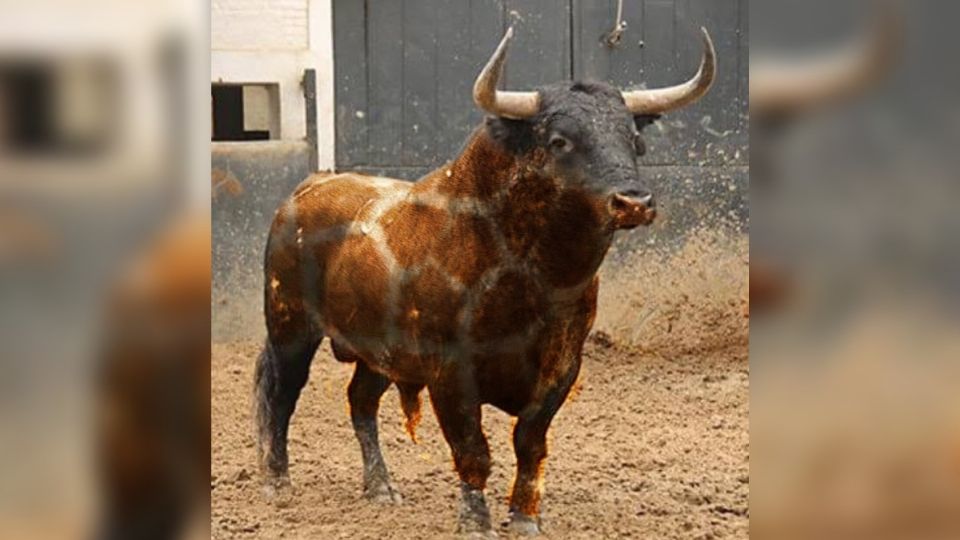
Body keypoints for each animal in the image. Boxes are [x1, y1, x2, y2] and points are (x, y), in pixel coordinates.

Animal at [255, 28, 712, 536]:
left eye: (634, 139)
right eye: (560, 141)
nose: (634, 202)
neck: (532, 274)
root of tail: (307, 188)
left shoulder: (562, 365)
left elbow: (530, 442)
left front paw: (525, 517)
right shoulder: (451, 370)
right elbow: (473, 449)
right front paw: (476, 519)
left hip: (379, 352)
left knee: (360, 401)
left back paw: (381, 487)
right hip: (290, 327)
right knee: (281, 394)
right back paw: (276, 482)